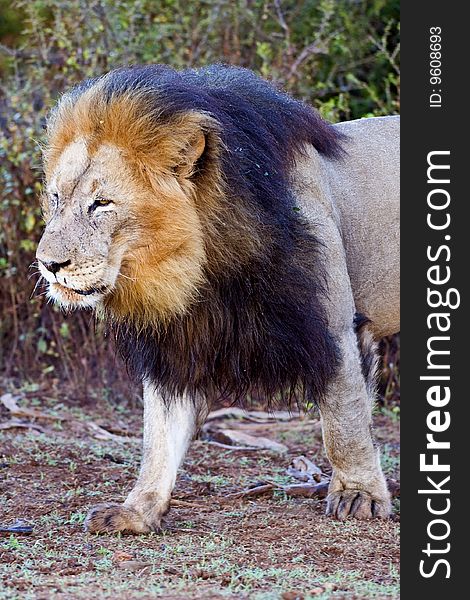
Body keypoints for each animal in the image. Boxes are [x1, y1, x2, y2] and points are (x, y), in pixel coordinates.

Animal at [35, 64, 398, 536]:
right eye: (56, 198)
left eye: (101, 203)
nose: (48, 264)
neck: (204, 268)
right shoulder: (176, 347)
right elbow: (158, 438)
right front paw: (138, 511)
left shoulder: (332, 327)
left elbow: (344, 421)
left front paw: (359, 495)